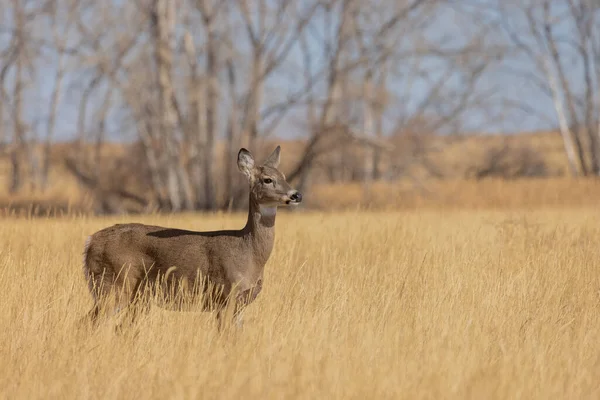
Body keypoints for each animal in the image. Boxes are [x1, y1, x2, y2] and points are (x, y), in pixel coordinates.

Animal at [82, 146, 302, 332]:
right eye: (267, 179)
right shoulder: (225, 295)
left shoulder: (241, 302)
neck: (249, 253)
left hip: (137, 296)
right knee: (88, 323)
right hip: (114, 284)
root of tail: (90, 241)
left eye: (284, 176)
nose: (296, 195)